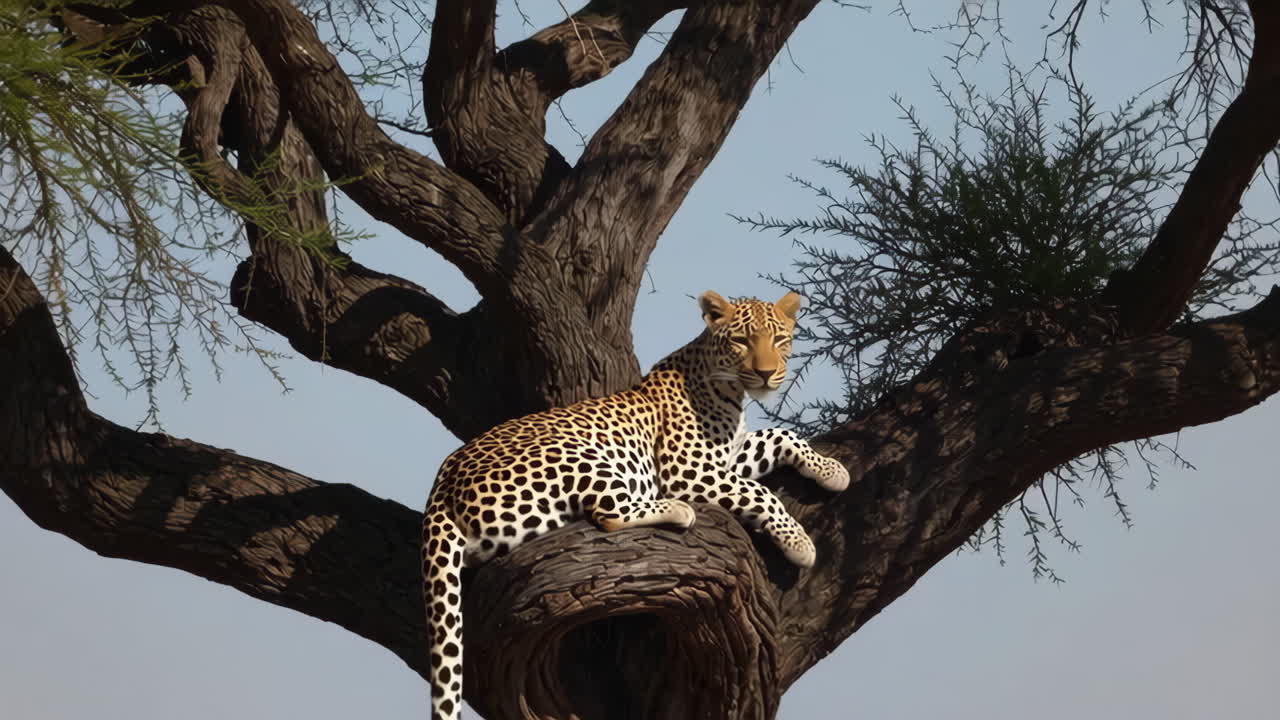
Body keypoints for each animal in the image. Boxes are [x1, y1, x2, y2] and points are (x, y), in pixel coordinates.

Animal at [420, 290, 851, 720]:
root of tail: (442, 483)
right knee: (608, 513)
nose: (765, 373)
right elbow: (760, 491)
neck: (726, 389)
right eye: (742, 341)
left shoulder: (727, 460)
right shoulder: (688, 472)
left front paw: (832, 470)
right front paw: (800, 543)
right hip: (581, 453)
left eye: (779, 339)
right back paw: (677, 510)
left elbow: (780, 435)